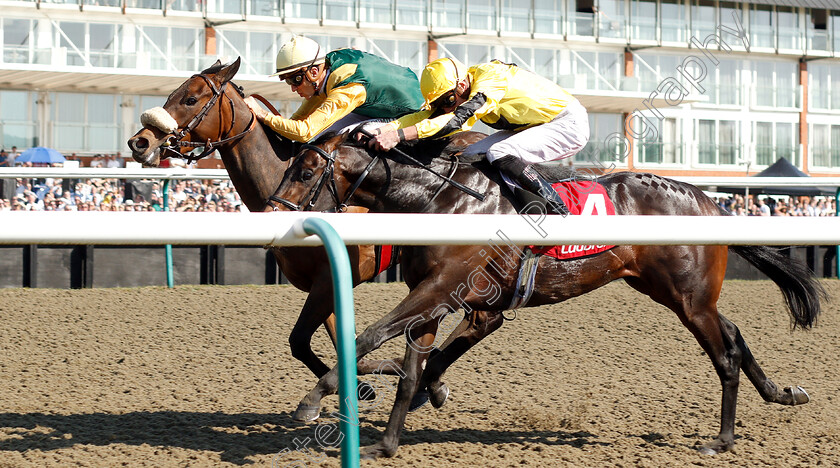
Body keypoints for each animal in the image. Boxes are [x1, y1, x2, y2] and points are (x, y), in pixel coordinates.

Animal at [272, 132, 824, 458]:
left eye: (305, 171)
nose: (275, 218)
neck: (441, 200)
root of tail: (710, 200)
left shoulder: (444, 288)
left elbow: (369, 335)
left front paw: (313, 400)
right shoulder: (433, 295)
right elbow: (411, 368)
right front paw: (386, 443)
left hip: (688, 300)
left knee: (725, 354)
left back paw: (723, 440)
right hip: (675, 293)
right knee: (734, 334)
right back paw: (782, 393)